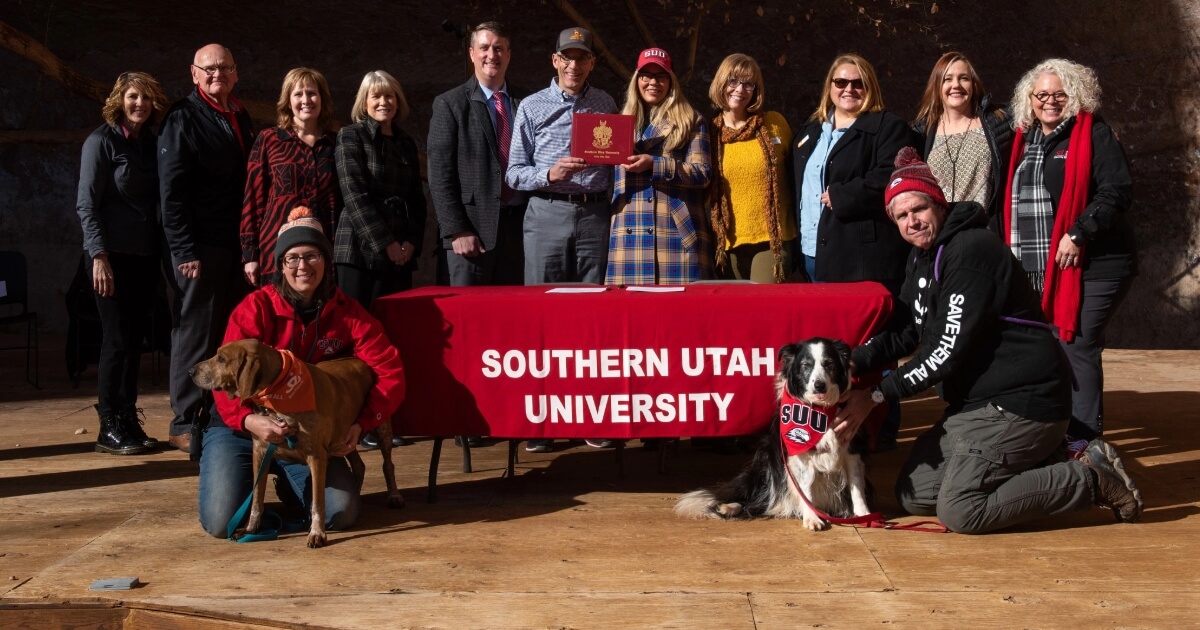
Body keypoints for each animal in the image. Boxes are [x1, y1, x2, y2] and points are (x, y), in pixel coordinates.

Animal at [190, 338, 403, 544]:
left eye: (221, 359)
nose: (191, 371)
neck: (279, 394)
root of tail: (361, 362)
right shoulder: (260, 452)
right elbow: (257, 498)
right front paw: (251, 529)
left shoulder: (316, 457)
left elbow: (318, 503)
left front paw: (317, 533)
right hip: (343, 439)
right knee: (359, 465)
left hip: (381, 428)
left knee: (388, 464)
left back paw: (394, 495)